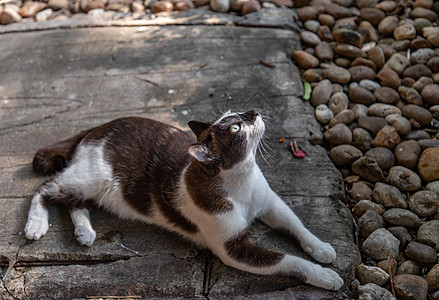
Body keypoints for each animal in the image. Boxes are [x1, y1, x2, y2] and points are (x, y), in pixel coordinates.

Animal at [25, 110, 346, 290]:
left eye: (238, 112)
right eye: (234, 128)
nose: (253, 111)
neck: (241, 182)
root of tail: (95, 129)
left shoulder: (270, 203)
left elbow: (296, 224)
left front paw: (322, 249)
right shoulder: (233, 248)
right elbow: (287, 260)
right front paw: (325, 277)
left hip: (92, 186)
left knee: (72, 201)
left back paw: (85, 231)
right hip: (91, 177)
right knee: (45, 188)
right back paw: (36, 224)